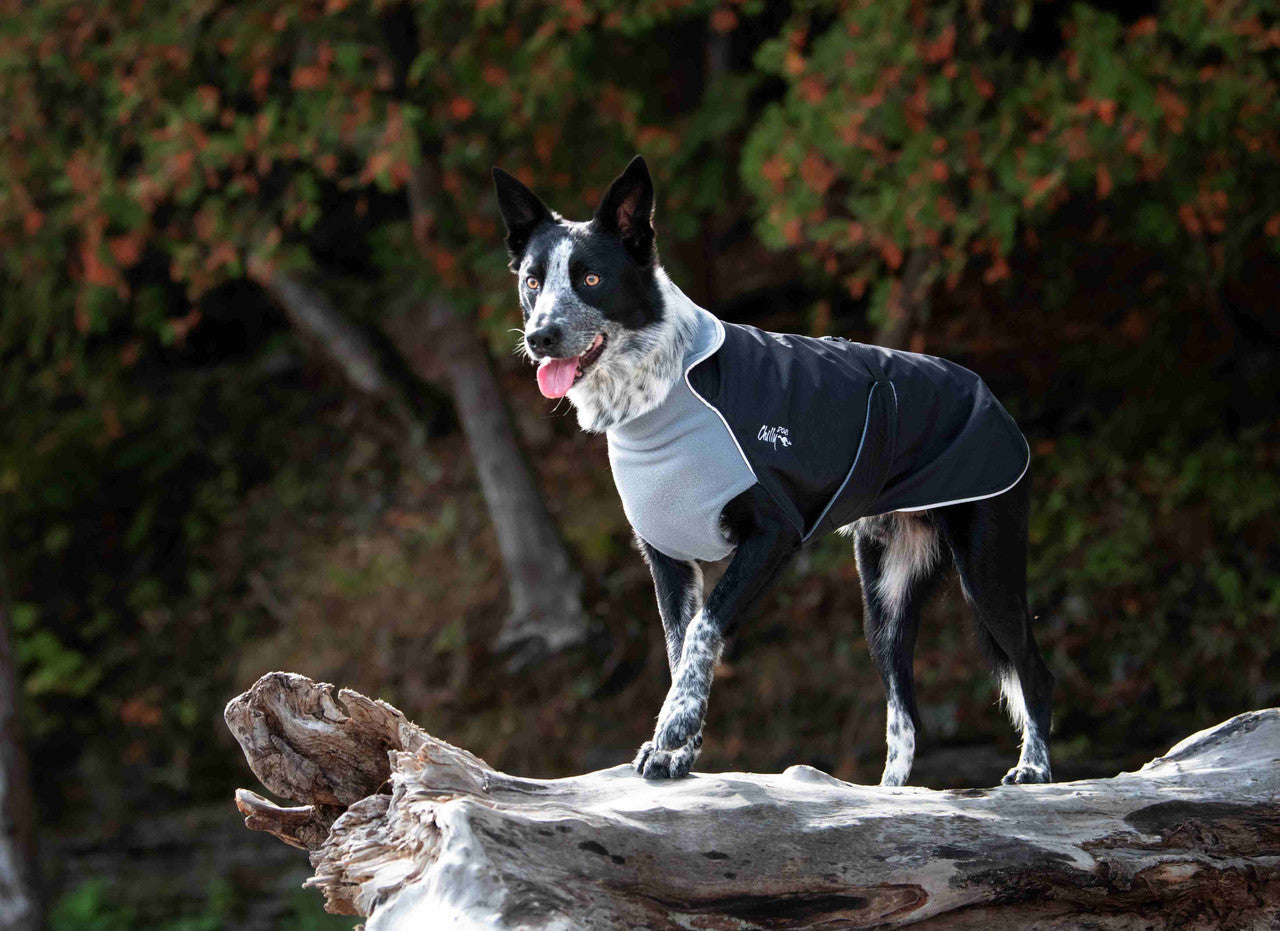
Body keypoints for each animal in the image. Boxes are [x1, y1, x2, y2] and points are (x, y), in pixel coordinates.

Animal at [488, 158, 1049, 788]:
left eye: (589, 280)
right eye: (532, 281)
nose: (540, 337)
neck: (666, 389)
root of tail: (991, 397)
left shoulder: (772, 537)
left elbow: (703, 634)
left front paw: (672, 737)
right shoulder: (669, 562)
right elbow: (680, 653)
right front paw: (680, 750)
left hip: (986, 569)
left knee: (1031, 668)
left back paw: (1033, 767)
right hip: (882, 599)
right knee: (904, 711)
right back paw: (889, 796)